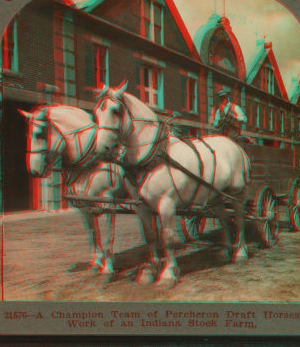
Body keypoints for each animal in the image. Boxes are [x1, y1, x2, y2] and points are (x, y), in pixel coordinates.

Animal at [19, 104, 134, 276]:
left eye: (40, 134)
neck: (92, 164)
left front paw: (107, 266)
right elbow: (92, 232)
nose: (33, 171)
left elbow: (107, 233)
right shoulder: (84, 206)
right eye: (27, 134)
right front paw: (95, 262)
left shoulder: (107, 204)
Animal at [92, 81, 250, 288]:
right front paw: (149, 271)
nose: (99, 149)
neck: (153, 155)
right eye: (96, 111)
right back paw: (224, 253)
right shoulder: (141, 207)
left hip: (237, 192)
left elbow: (167, 237)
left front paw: (167, 274)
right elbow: (150, 237)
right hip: (215, 196)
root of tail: (235, 145)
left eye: (115, 110)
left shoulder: (166, 203)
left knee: (238, 219)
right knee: (224, 219)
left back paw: (240, 252)